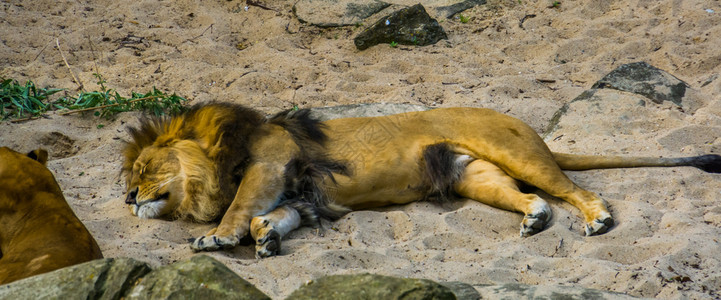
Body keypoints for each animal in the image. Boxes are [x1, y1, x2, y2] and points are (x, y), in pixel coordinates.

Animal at [122, 103, 720, 258]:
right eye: (132, 176)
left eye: (146, 171)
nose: (127, 197)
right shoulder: (299, 194)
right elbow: (274, 217)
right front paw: (266, 238)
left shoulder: (271, 165)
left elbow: (239, 208)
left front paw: (218, 235)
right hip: (474, 178)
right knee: (535, 200)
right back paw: (533, 219)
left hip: (517, 153)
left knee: (578, 190)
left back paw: (598, 219)